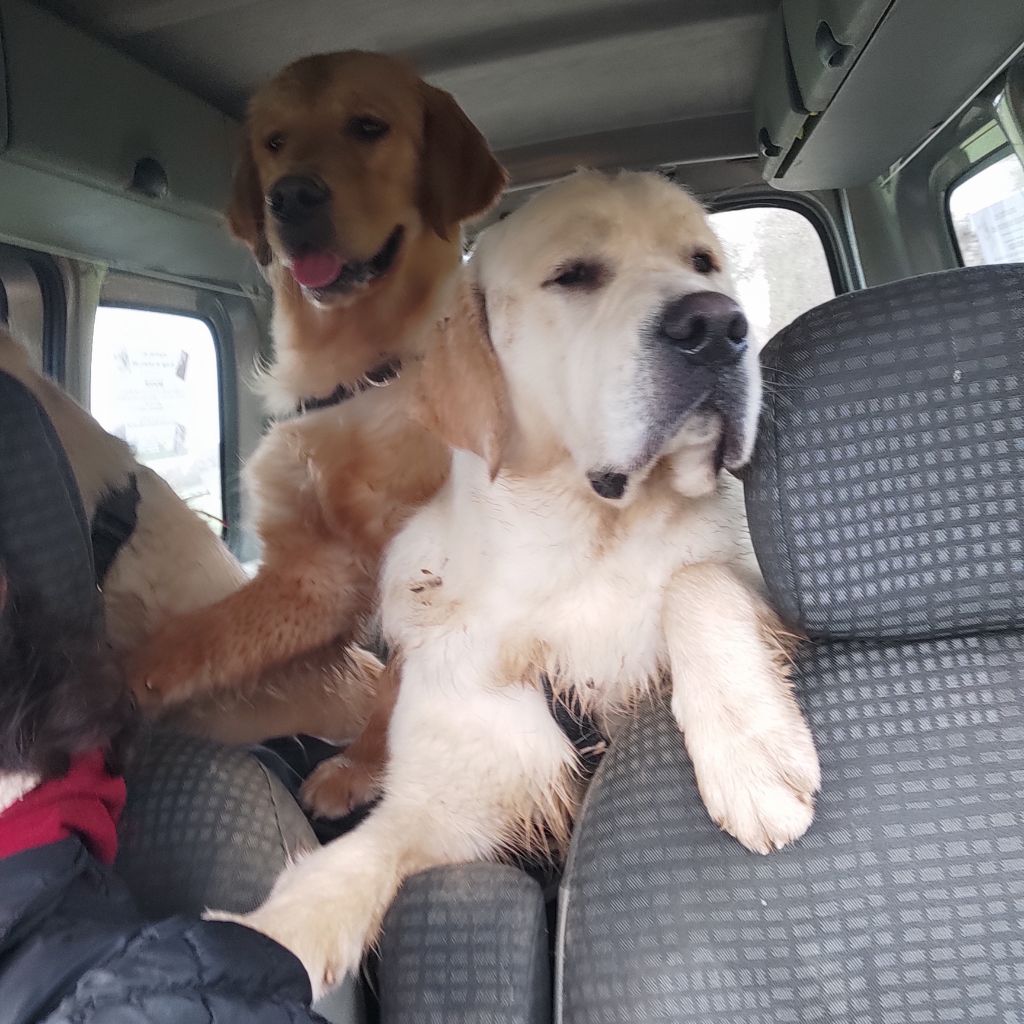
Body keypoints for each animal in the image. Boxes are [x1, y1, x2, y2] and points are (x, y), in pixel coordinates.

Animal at [128, 52, 506, 778]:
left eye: (368, 126)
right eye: (274, 142)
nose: (291, 197)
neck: (354, 376)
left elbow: (400, 681)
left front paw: (363, 770)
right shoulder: (311, 570)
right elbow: (211, 631)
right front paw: (114, 673)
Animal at [209, 170, 821, 995]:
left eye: (703, 262)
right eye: (574, 275)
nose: (718, 325)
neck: (576, 549)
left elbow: (696, 580)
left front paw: (751, 752)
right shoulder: (451, 788)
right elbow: (340, 874)